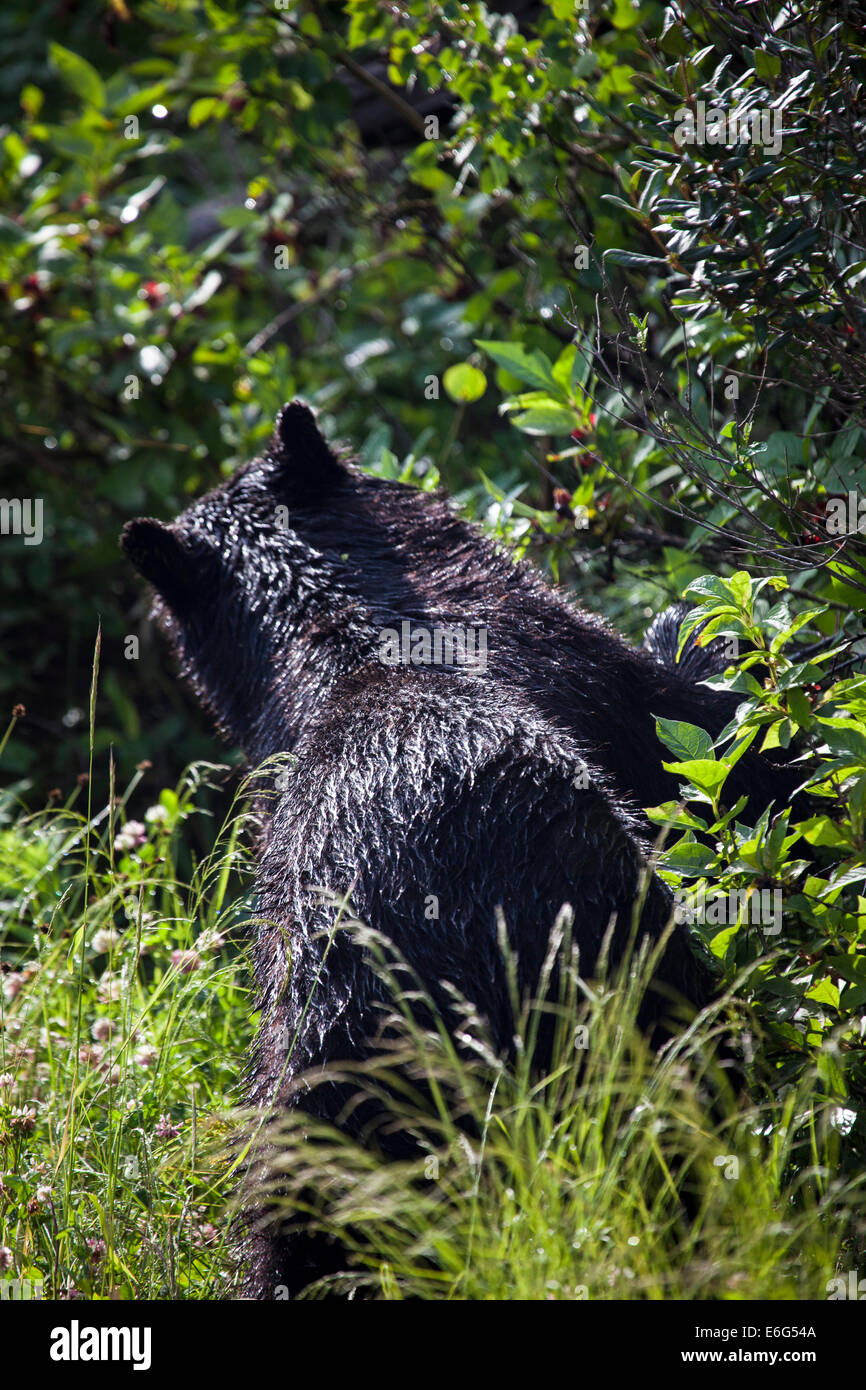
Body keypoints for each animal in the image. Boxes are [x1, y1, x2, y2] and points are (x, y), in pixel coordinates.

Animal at [122, 400, 756, 1289]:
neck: (345, 622)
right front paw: (696, 632)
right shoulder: (621, 694)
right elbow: (722, 736)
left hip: (307, 1075)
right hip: (614, 964)